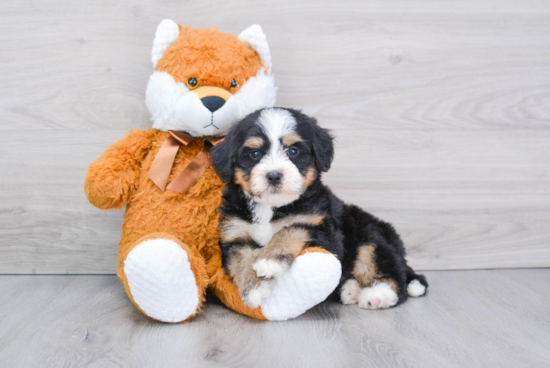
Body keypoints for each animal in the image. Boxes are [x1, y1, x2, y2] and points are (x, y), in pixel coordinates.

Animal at [212, 107, 432, 310]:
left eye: (293, 152)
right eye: (255, 154)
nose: (274, 176)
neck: (271, 207)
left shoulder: (321, 228)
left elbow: (290, 230)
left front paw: (269, 259)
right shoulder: (235, 234)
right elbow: (241, 259)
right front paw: (252, 288)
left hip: (370, 234)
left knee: (391, 275)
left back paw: (378, 295)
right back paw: (350, 290)